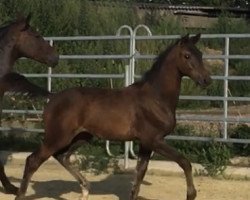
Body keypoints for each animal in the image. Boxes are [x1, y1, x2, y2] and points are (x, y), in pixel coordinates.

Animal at [11, 33, 211, 199]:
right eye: (187, 56)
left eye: (200, 54)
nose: (207, 80)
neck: (156, 97)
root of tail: (52, 97)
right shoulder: (154, 139)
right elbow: (184, 162)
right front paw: (191, 194)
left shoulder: (146, 143)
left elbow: (139, 175)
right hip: (58, 137)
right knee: (33, 160)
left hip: (81, 136)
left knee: (62, 156)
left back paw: (85, 188)